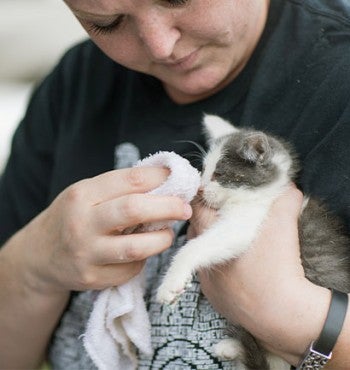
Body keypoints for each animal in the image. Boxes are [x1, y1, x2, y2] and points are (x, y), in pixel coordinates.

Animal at [157, 115, 350, 370]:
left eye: (219, 174)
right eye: (204, 169)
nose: (200, 189)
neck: (265, 194)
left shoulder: (248, 220)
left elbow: (200, 246)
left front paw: (172, 282)